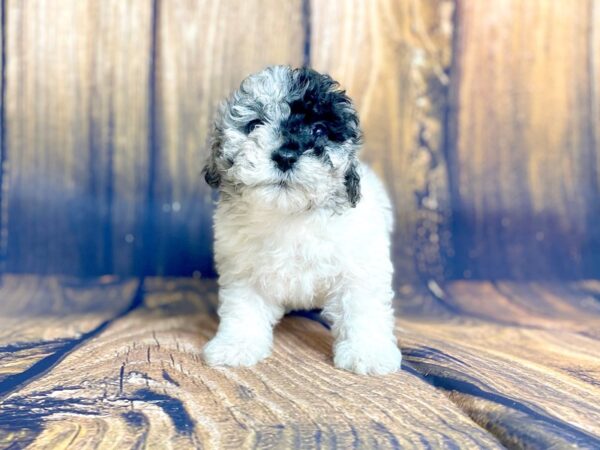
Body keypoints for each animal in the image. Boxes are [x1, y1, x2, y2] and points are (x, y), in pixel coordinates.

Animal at [202, 65, 404, 374]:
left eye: (319, 130)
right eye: (255, 124)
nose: (285, 155)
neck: (291, 214)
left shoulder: (360, 266)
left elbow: (361, 307)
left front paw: (367, 351)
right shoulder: (243, 271)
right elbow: (243, 308)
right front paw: (236, 345)